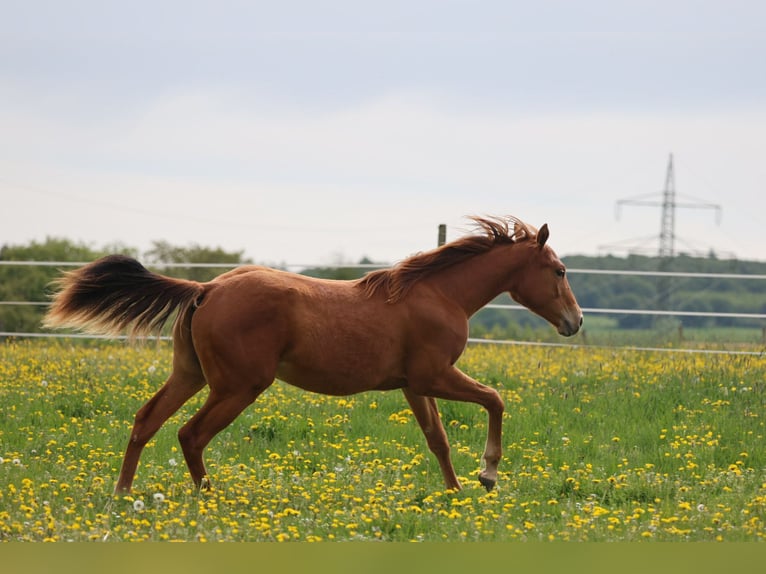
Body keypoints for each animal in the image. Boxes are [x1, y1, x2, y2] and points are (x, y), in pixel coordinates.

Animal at [43, 216, 582, 494]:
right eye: (557, 270)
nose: (574, 322)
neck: (437, 294)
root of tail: (207, 289)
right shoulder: (434, 376)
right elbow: (495, 399)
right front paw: (487, 474)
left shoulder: (415, 385)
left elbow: (439, 440)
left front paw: (455, 495)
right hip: (238, 386)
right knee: (190, 434)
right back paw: (208, 499)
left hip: (190, 375)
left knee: (146, 421)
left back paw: (123, 495)